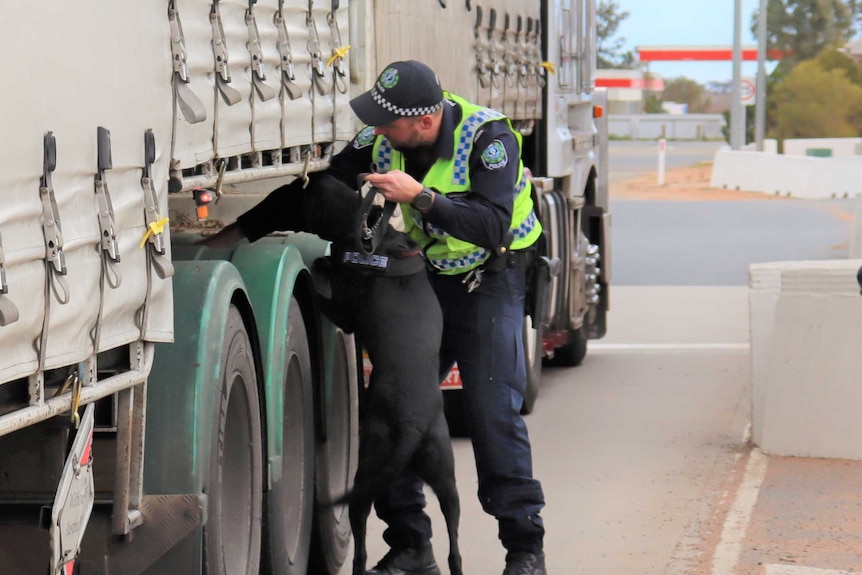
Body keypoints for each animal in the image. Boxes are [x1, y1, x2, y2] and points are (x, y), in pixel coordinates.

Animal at [264, 172, 462, 575]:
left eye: (296, 198)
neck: (368, 232)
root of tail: (412, 426)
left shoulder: (347, 313)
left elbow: (327, 289)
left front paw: (321, 266)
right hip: (446, 479)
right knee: (454, 546)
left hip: (366, 472)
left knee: (360, 549)